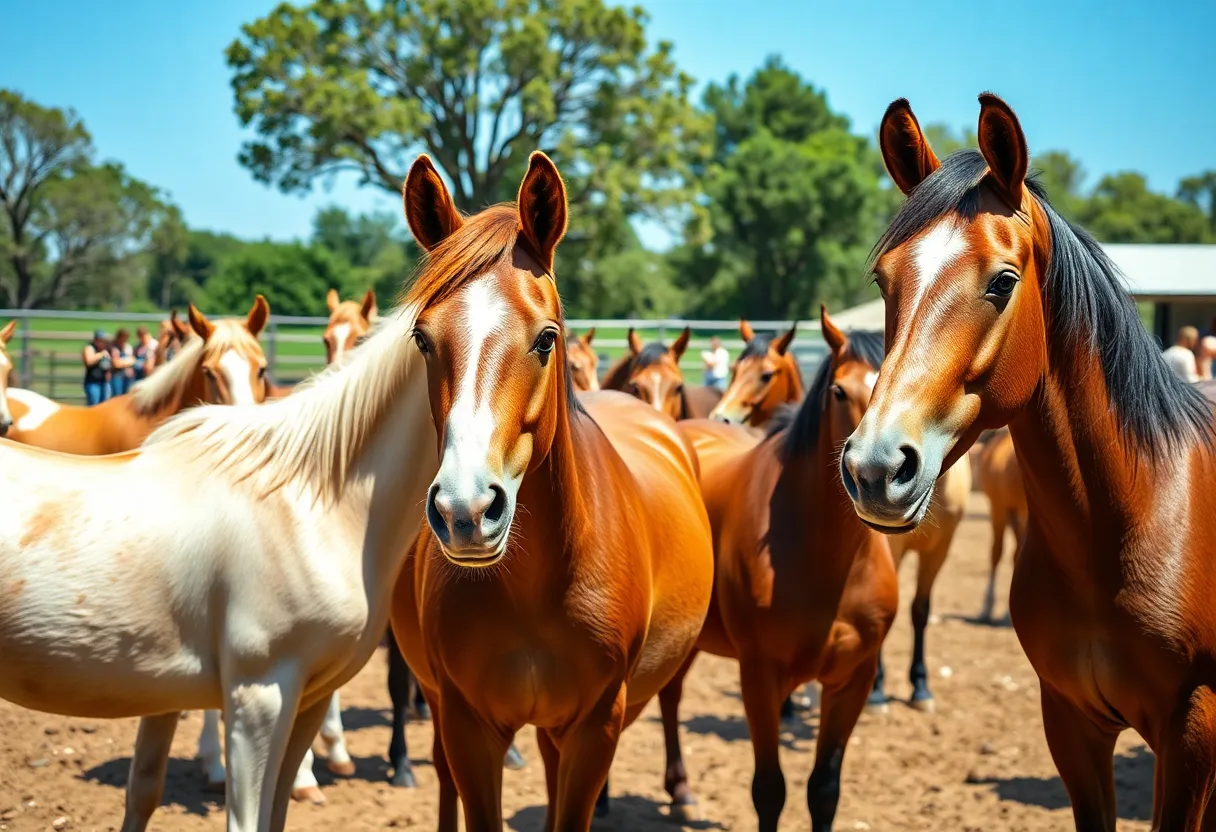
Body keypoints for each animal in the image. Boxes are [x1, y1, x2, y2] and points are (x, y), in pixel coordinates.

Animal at [389, 151, 714, 831]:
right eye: (423, 339)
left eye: (545, 338)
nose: (466, 510)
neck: (537, 584)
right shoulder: (467, 725)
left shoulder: (595, 726)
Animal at [645, 306, 897, 832]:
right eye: (838, 391)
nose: (876, 475)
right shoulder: (759, 677)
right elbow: (769, 790)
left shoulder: (852, 681)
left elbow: (823, 791)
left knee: (670, 696)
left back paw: (681, 791)